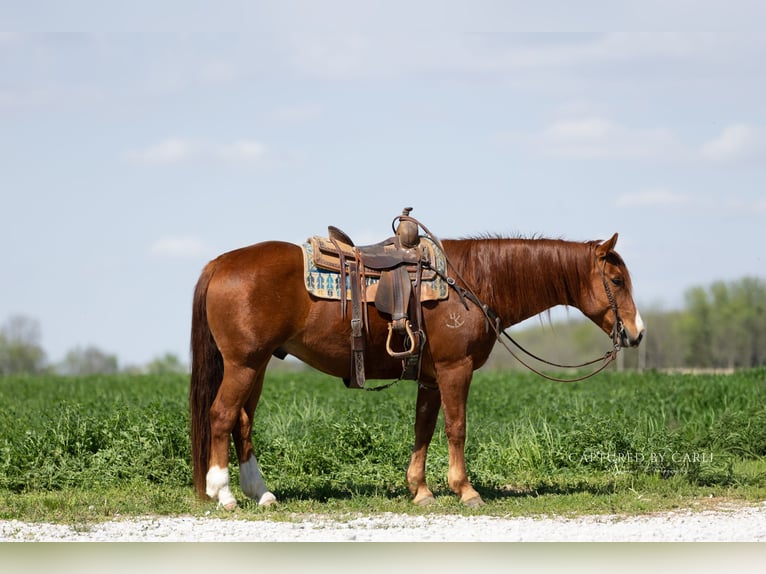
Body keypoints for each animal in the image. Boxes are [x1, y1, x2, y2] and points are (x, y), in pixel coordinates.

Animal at [189, 230, 645, 509]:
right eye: (616, 280)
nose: (636, 333)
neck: (472, 282)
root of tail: (219, 263)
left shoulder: (430, 377)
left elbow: (422, 428)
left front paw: (421, 490)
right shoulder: (455, 369)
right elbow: (456, 427)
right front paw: (465, 490)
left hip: (259, 364)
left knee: (243, 422)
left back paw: (261, 494)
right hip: (244, 364)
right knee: (222, 416)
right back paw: (224, 493)